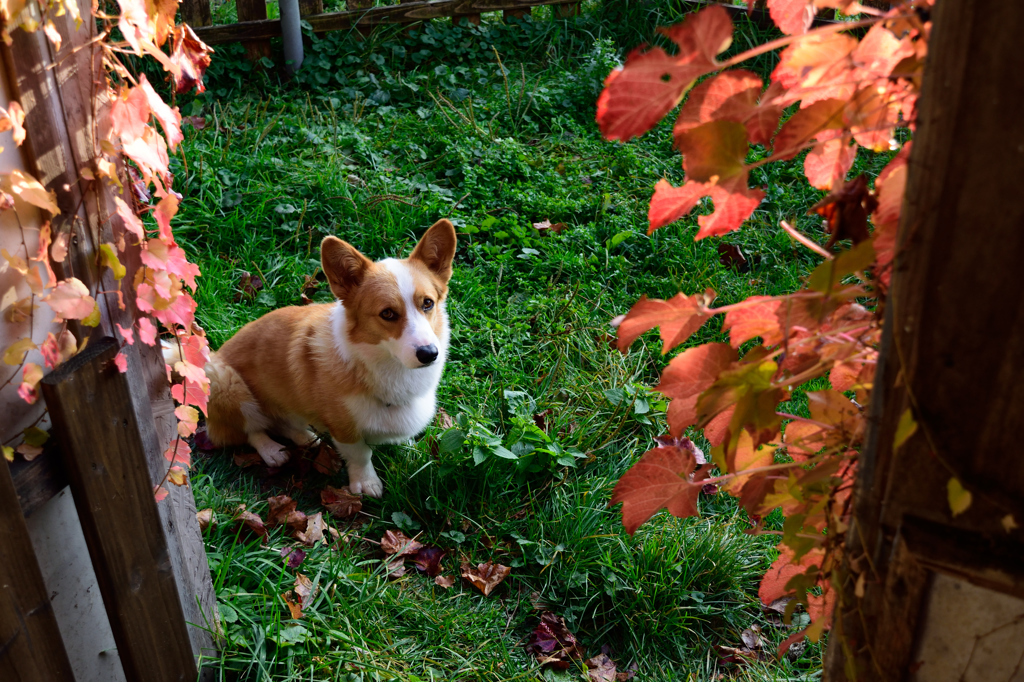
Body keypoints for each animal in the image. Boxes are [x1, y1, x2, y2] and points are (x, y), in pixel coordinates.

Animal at [172, 220, 456, 497]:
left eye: (428, 303)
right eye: (387, 313)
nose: (429, 354)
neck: (386, 365)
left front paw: (407, 448)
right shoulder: (344, 427)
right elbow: (361, 455)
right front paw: (366, 484)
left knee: (284, 422)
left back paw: (304, 437)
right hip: (226, 381)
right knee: (251, 430)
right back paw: (272, 451)